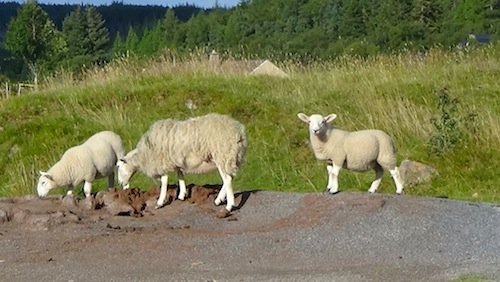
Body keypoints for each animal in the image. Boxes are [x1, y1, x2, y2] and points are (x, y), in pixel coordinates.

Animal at [117, 112, 250, 212]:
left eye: (118, 167)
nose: (120, 184)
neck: (143, 155)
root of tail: (239, 131)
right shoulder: (175, 160)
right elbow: (179, 174)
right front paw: (182, 194)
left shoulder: (162, 162)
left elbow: (164, 181)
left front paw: (160, 202)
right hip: (231, 157)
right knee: (229, 178)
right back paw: (219, 200)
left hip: (223, 155)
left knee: (227, 179)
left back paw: (229, 206)